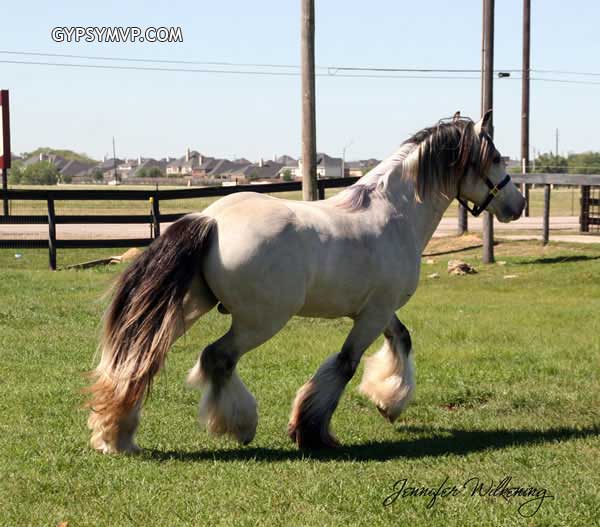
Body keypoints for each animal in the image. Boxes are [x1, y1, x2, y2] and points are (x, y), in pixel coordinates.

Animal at [85, 110, 524, 454]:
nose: (517, 205)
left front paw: (389, 402)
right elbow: (345, 365)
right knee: (216, 357)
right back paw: (240, 426)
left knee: (141, 360)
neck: (394, 213)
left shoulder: (379, 310)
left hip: (190, 306)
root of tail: (210, 218)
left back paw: (116, 437)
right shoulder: (373, 314)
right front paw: (312, 431)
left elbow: (401, 340)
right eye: (496, 157)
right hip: (261, 321)